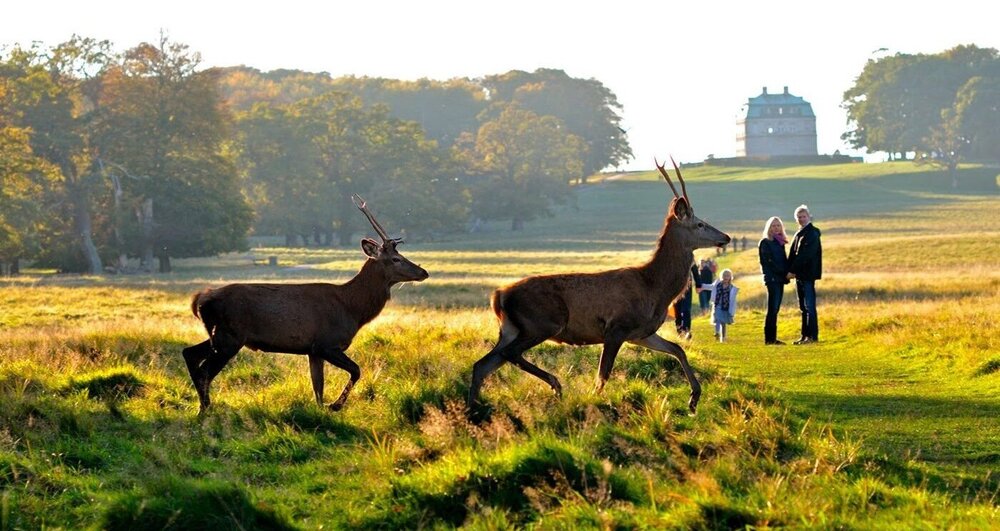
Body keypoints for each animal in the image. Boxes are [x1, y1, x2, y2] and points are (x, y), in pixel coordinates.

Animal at [186, 195, 428, 416]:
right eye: (396, 259)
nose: (424, 272)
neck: (352, 308)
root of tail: (200, 300)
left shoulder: (312, 350)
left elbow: (317, 387)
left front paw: (321, 409)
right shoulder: (326, 343)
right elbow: (356, 370)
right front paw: (335, 405)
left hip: (221, 335)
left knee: (189, 353)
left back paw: (203, 407)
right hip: (230, 336)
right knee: (204, 370)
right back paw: (205, 409)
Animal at [468, 158, 728, 416]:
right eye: (700, 224)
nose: (725, 237)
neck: (655, 289)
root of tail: (499, 295)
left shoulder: (641, 333)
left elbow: (677, 349)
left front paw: (694, 398)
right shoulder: (617, 327)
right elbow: (602, 375)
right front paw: (593, 403)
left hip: (510, 328)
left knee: (482, 364)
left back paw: (474, 410)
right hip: (542, 322)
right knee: (509, 353)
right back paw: (555, 384)